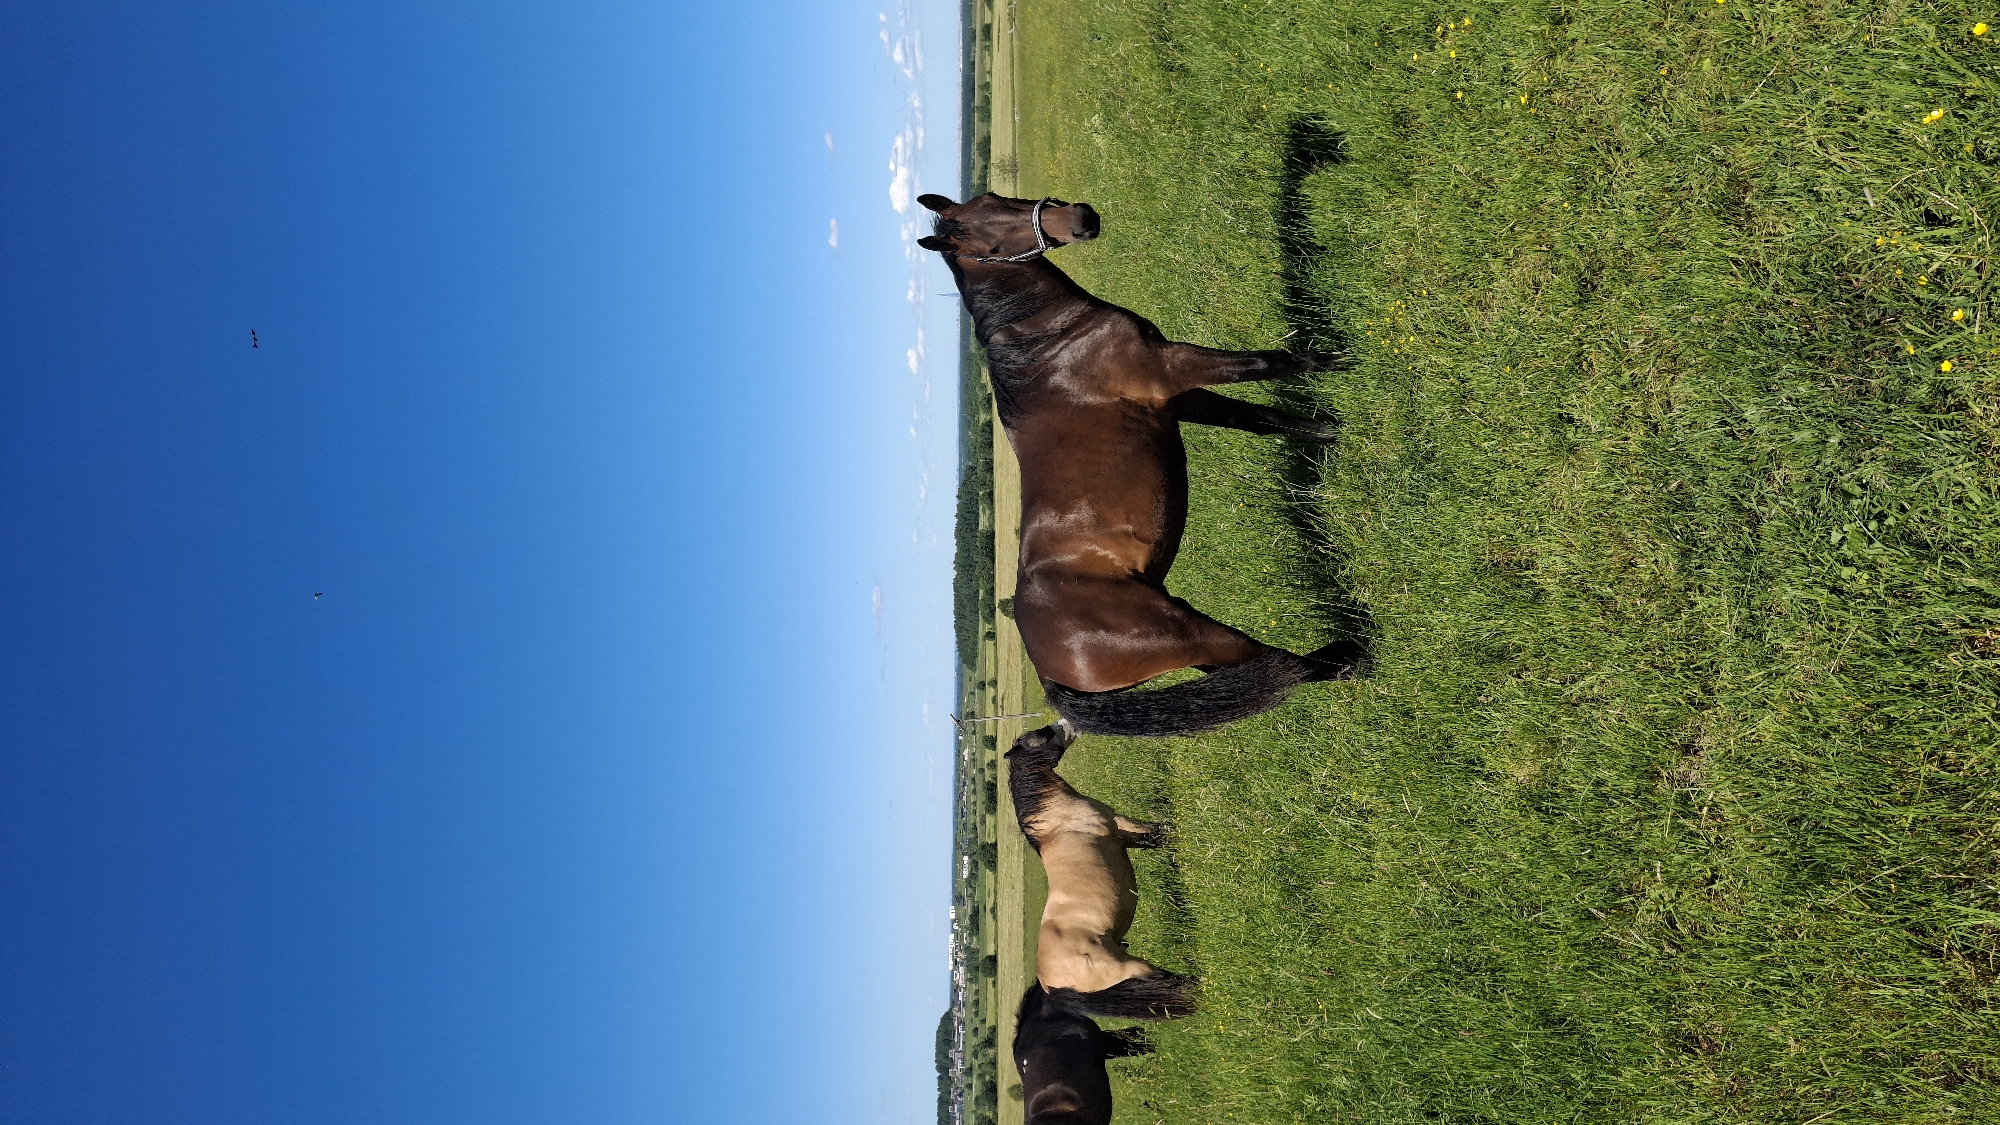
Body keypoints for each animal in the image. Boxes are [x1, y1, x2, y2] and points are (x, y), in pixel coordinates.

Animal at [919, 191, 1364, 737]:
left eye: (999, 199)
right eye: (992, 246)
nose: (1081, 218)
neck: (1055, 341)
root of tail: (1052, 676)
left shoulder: (1180, 399)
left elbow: (1261, 418)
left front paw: (1332, 431)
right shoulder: (1174, 368)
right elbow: (1270, 363)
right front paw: (1339, 359)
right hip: (1187, 631)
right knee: (1287, 666)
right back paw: (1357, 654)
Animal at [1007, 722, 1196, 1020]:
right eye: (1043, 734)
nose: (1069, 723)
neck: (1055, 816)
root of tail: (1052, 986)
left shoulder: (1126, 838)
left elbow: (1152, 840)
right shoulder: (1120, 825)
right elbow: (1154, 834)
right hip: (1131, 969)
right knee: (1165, 981)